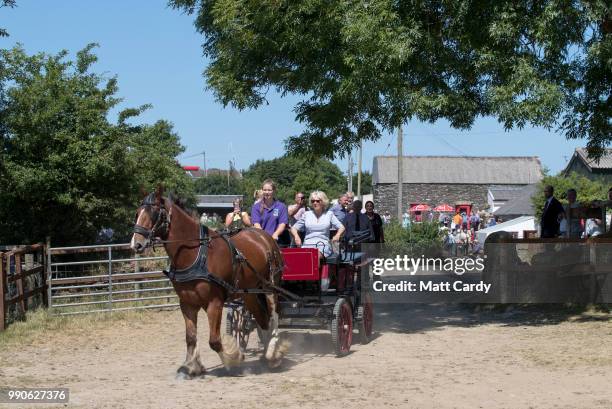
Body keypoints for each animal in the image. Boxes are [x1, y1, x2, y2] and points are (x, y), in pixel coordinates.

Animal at [130, 187, 286, 376]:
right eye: (137, 213)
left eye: (153, 214)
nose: (136, 244)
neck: (196, 254)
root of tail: (264, 237)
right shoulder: (187, 303)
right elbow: (190, 337)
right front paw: (190, 366)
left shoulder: (214, 302)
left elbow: (214, 340)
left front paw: (233, 360)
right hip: (250, 293)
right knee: (262, 319)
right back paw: (265, 355)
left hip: (270, 287)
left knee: (274, 316)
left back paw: (272, 352)